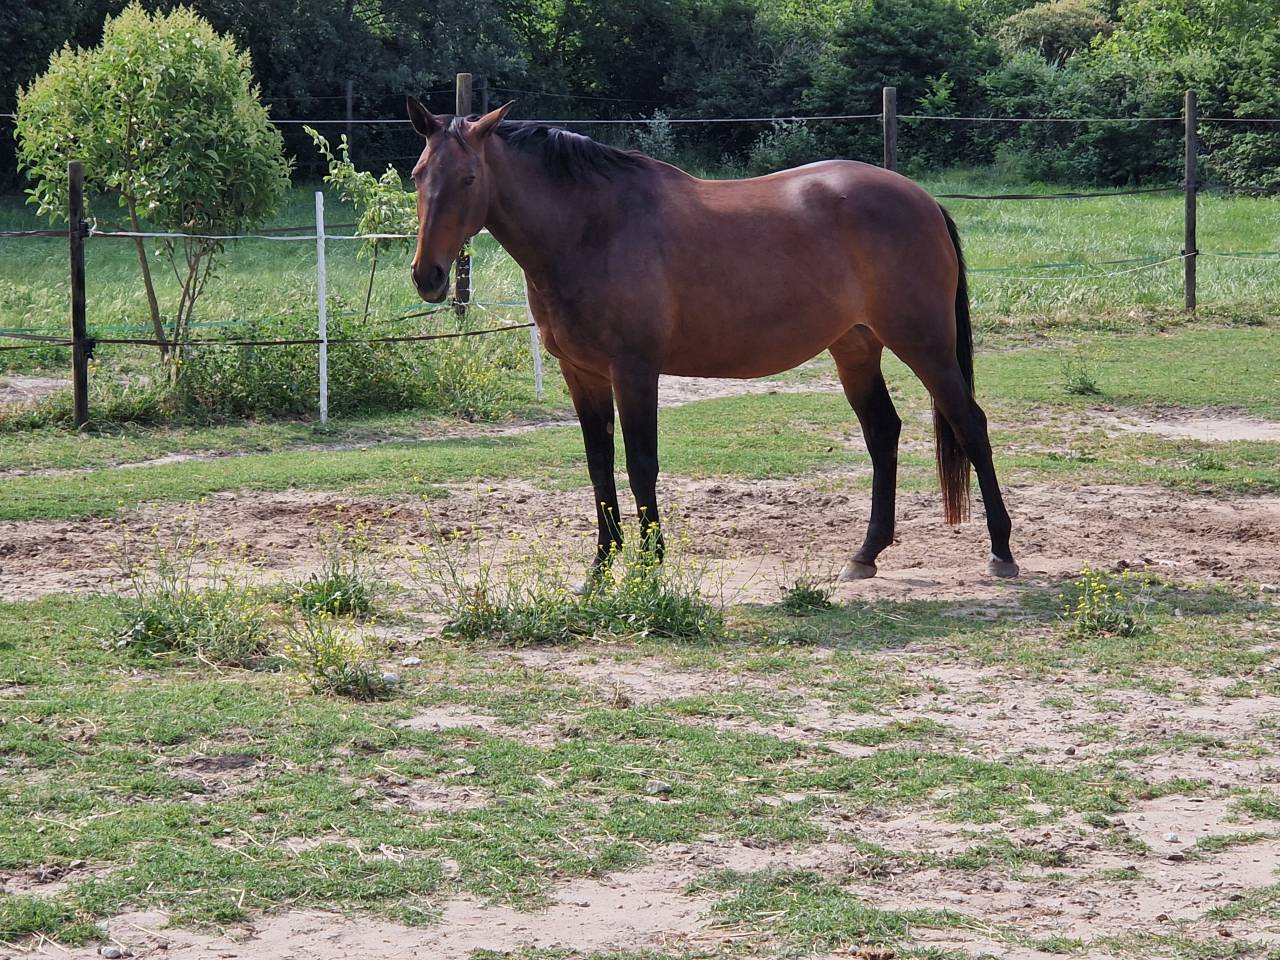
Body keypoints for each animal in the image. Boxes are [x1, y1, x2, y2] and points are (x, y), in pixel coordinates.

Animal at [404, 97, 1019, 581]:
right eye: (417, 174)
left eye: (468, 179)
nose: (427, 276)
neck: (594, 228)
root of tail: (924, 199)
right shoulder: (582, 374)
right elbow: (599, 466)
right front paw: (600, 569)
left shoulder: (634, 370)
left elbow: (640, 464)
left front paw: (649, 568)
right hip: (856, 347)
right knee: (882, 432)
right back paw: (866, 554)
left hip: (925, 345)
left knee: (971, 424)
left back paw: (1001, 551)